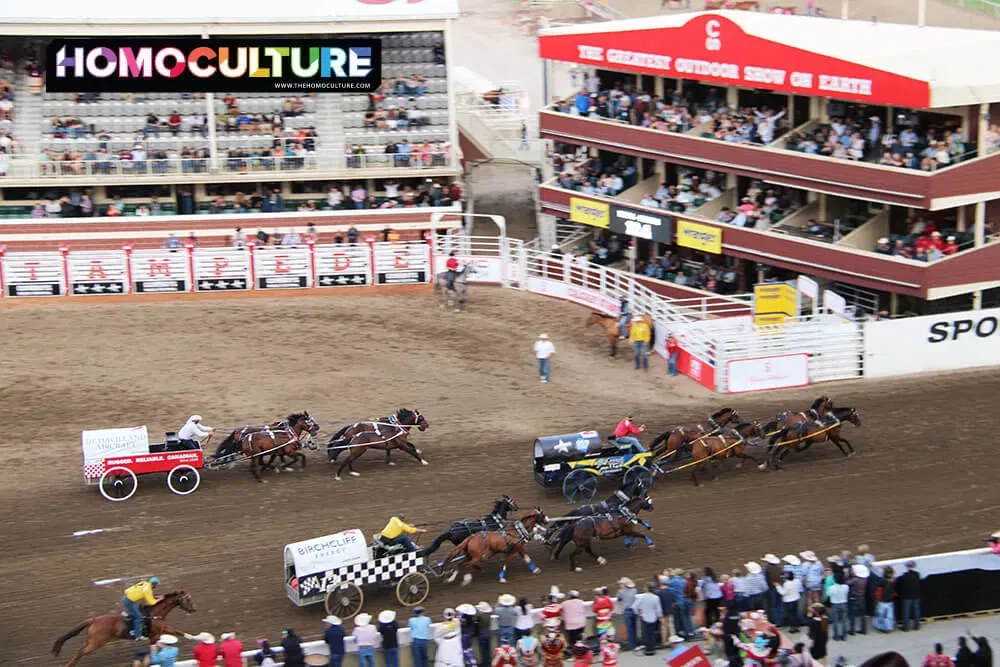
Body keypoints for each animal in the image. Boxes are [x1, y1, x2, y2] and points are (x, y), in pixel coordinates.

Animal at [51, 592, 196, 664]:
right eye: (188, 600)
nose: (193, 610)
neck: (155, 613)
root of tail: (94, 620)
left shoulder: (163, 629)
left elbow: (180, 632)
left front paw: (198, 637)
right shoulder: (154, 635)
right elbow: (154, 649)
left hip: (93, 641)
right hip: (96, 642)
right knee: (80, 652)